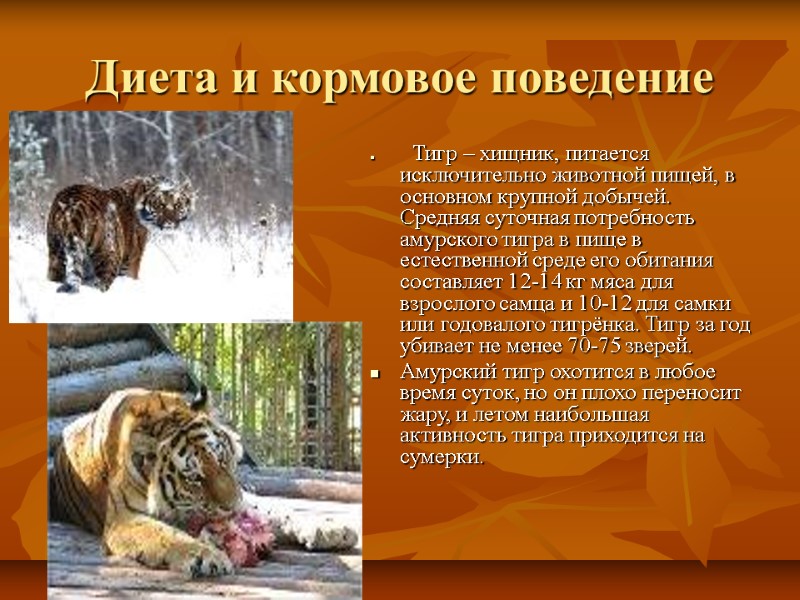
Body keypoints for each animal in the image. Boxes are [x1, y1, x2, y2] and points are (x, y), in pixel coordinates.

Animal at [46, 176, 195, 293]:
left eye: (177, 205)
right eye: (161, 205)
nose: (169, 224)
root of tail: (74, 201)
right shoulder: (131, 261)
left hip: (56, 253)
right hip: (108, 255)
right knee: (100, 284)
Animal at [51, 386, 242, 577]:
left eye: (222, 460)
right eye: (193, 478)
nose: (233, 507)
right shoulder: (124, 517)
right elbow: (167, 535)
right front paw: (208, 555)